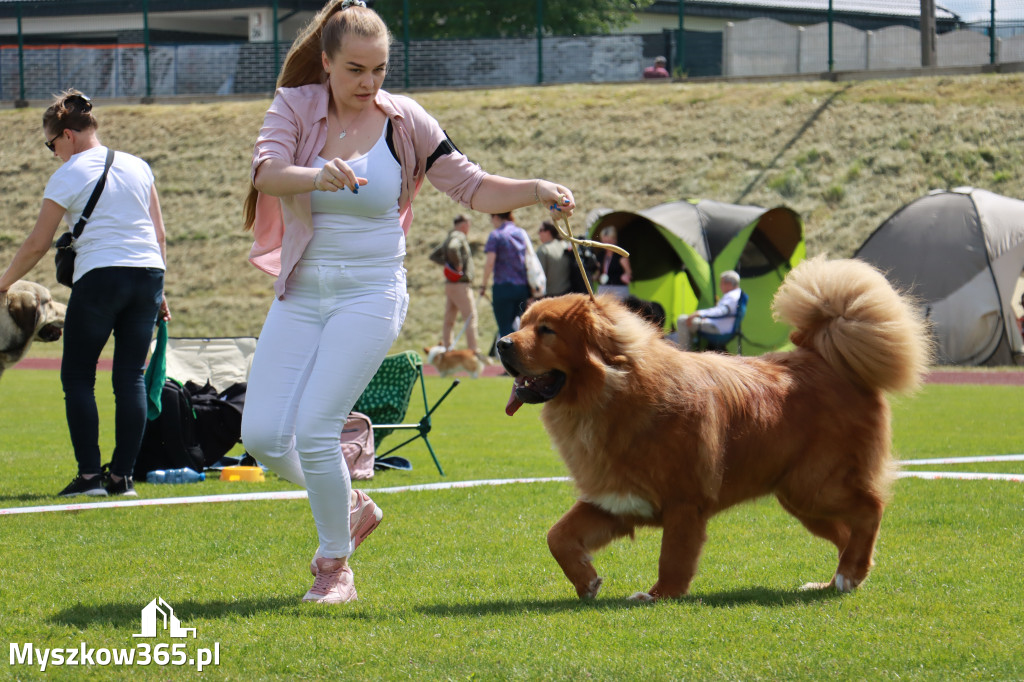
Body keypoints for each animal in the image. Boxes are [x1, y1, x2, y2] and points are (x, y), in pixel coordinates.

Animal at [497, 258, 937, 598]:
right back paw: (841, 580)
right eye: (524, 323)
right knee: (850, 533)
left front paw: (659, 596)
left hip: (816, 486)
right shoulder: (615, 500)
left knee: (870, 510)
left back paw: (848, 574)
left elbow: (673, 558)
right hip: (801, 499)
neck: (609, 395)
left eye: (547, 330)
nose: (502, 343)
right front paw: (586, 581)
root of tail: (827, 357)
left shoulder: (683, 503)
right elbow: (557, 537)